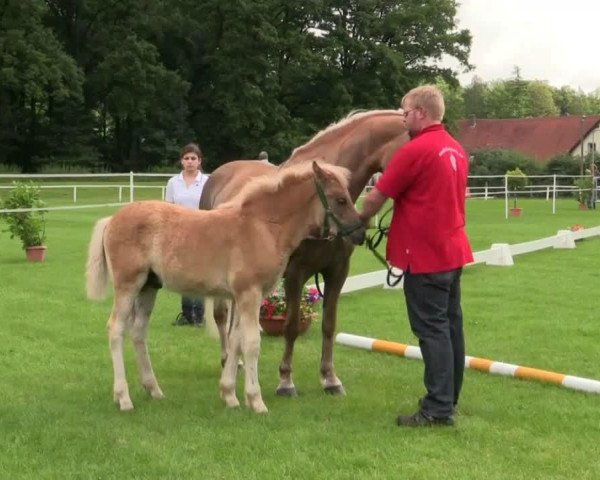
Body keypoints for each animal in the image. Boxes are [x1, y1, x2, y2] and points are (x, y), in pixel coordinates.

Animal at [86, 161, 364, 412]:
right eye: (340, 199)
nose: (360, 234)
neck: (262, 225)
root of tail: (112, 219)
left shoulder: (242, 296)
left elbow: (235, 340)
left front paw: (229, 395)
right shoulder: (249, 293)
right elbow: (251, 343)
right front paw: (255, 400)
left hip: (149, 287)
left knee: (138, 331)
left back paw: (153, 390)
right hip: (128, 285)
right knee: (116, 329)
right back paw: (123, 398)